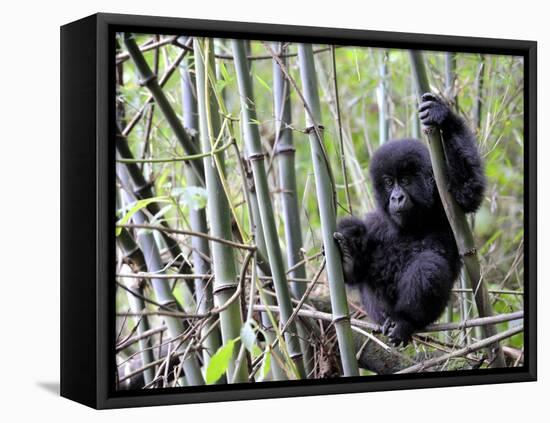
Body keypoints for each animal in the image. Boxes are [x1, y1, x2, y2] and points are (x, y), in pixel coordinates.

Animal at [336, 93, 488, 348]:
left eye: (405, 180)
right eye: (389, 182)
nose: (396, 197)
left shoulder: (446, 203)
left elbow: (468, 188)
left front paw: (443, 117)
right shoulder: (376, 220)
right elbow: (358, 271)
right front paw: (349, 256)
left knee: (428, 265)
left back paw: (404, 321)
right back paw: (349, 259)